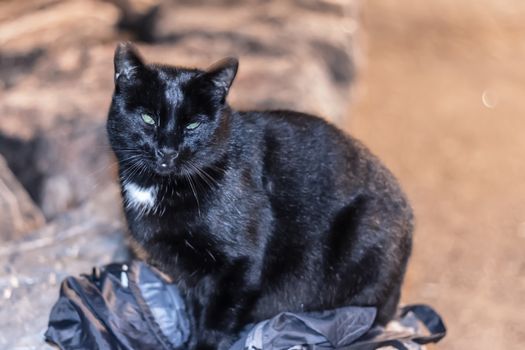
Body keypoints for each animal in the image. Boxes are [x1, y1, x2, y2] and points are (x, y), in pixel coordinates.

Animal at [106, 42, 412, 348]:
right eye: (148, 118)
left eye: (192, 125)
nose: (167, 151)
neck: (161, 186)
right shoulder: (188, 276)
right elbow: (195, 314)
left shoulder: (239, 267)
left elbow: (216, 321)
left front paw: (205, 345)